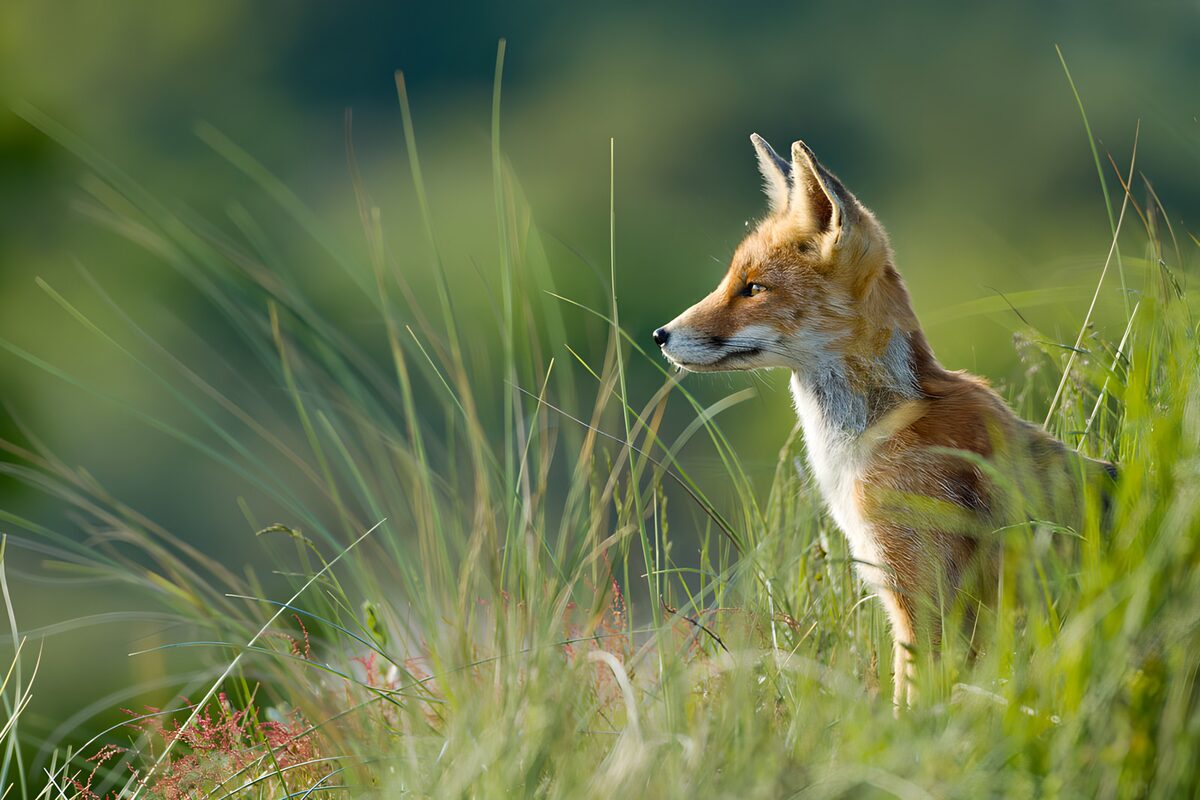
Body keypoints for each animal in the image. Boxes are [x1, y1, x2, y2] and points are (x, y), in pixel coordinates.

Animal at [653, 134, 1116, 706]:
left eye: (753, 288)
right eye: (730, 281)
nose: (660, 335)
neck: (880, 432)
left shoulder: (925, 602)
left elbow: (911, 710)